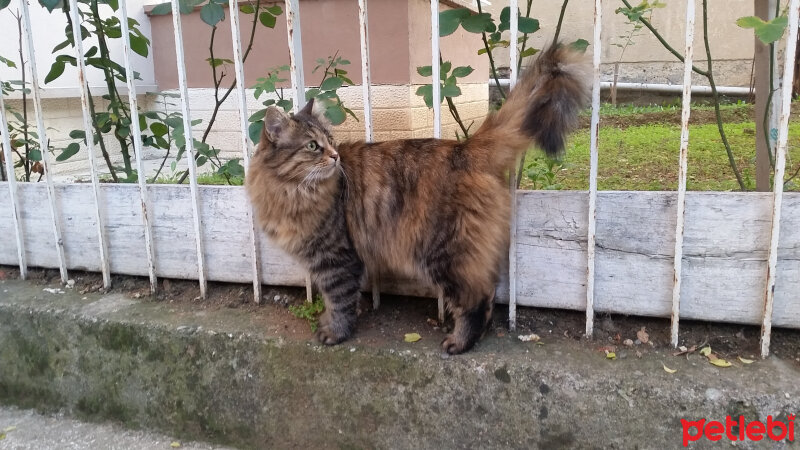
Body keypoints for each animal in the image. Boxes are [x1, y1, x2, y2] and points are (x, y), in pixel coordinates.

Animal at [247, 45, 592, 356]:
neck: (290, 190)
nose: (335, 156)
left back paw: (460, 343)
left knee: (476, 298)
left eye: (329, 141)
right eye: (312, 146)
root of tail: (465, 149)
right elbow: (334, 301)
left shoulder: (337, 258)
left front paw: (335, 332)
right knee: (489, 294)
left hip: (442, 252)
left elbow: (339, 300)